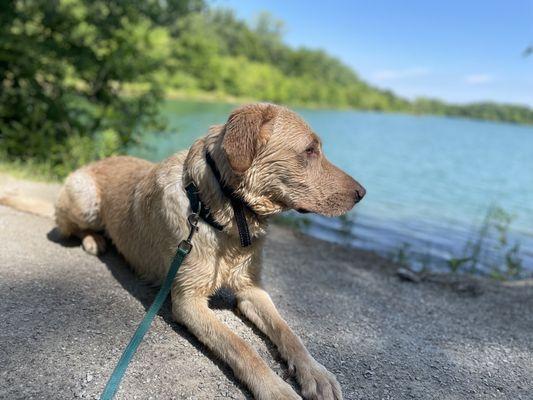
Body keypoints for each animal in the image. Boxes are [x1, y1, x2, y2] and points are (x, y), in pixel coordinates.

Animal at [53, 104, 366, 400]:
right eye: (310, 150)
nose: (362, 193)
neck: (220, 214)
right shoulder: (188, 302)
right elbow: (241, 347)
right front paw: (275, 389)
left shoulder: (252, 289)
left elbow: (289, 333)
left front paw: (316, 373)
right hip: (85, 201)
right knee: (67, 227)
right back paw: (93, 240)